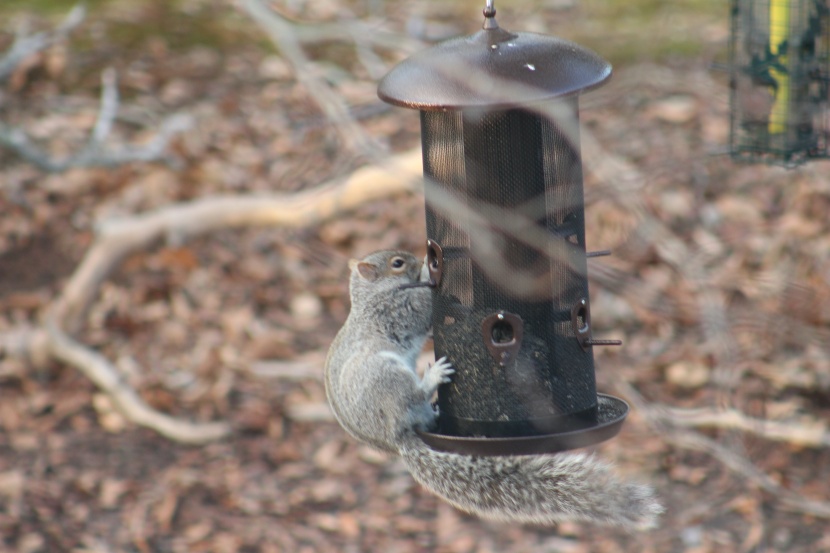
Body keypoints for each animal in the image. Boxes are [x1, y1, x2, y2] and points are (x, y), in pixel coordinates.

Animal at [324, 250, 663, 529]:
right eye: (397, 263)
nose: (418, 260)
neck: (370, 297)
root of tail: (396, 438)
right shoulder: (396, 309)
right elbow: (420, 309)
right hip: (386, 378)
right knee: (412, 394)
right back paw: (433, 377)